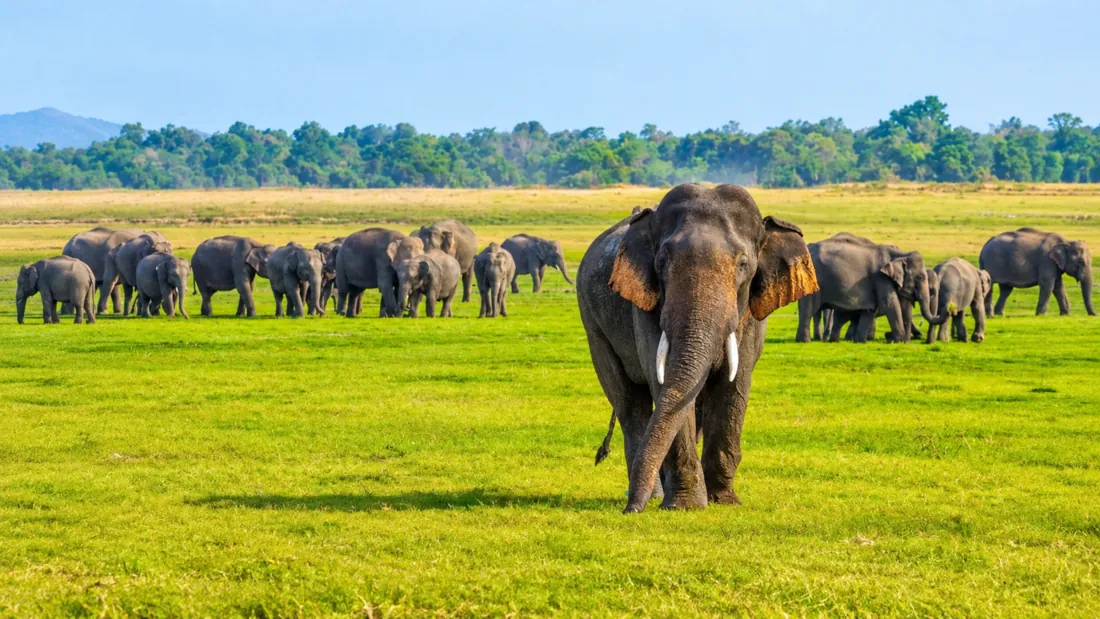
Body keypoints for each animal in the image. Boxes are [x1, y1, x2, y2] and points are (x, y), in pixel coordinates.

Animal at [578, 184, 818, 513]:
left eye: (743, 265)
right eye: (661, 263)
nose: (629, 511)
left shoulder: (750, 316)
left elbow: (734, 384)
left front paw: (725, 501)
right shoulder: (646, 306)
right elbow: (665, 384)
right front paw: (686, 506)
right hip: (593, 325)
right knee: (629, 402)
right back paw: (653, 495)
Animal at [796, 233, 938, 343]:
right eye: (920, 277)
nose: (888, 335)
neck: (900, 254)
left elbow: (870, 310)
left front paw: (860, 341)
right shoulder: (880, 278)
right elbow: (889, 304)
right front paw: (897, 340)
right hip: (811, 279)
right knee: (809, 309)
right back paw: (805, 341)